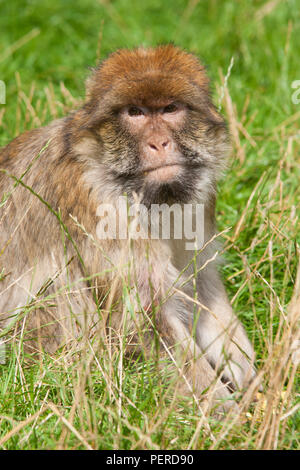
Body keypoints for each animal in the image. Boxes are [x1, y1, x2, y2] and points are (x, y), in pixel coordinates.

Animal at [0, 46, 255, 414]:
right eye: (135, 112)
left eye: (170, 108)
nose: (159, 143)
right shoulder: (101, 210)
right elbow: (144, 322)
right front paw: (227, 418)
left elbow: (203, 288)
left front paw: (257, 387)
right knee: (61, 284)